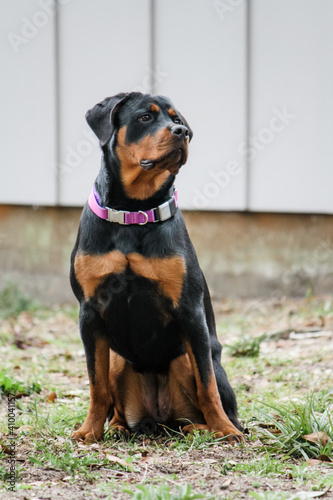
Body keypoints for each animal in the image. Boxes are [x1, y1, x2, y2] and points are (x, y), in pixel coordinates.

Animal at [70, 92, 243, 444]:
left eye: (177, 119)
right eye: (145, 117)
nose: (182, 132)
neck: (133, 212)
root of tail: (159, 418)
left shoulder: (190, 310)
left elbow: (207, 387)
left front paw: (226, 430)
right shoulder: (89, 312)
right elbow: (97, 386)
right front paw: (89, 430)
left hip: (185, 357)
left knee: (207, 396)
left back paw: (203, 427)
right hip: (118, 360)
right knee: (115, 399)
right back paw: (118, 427)